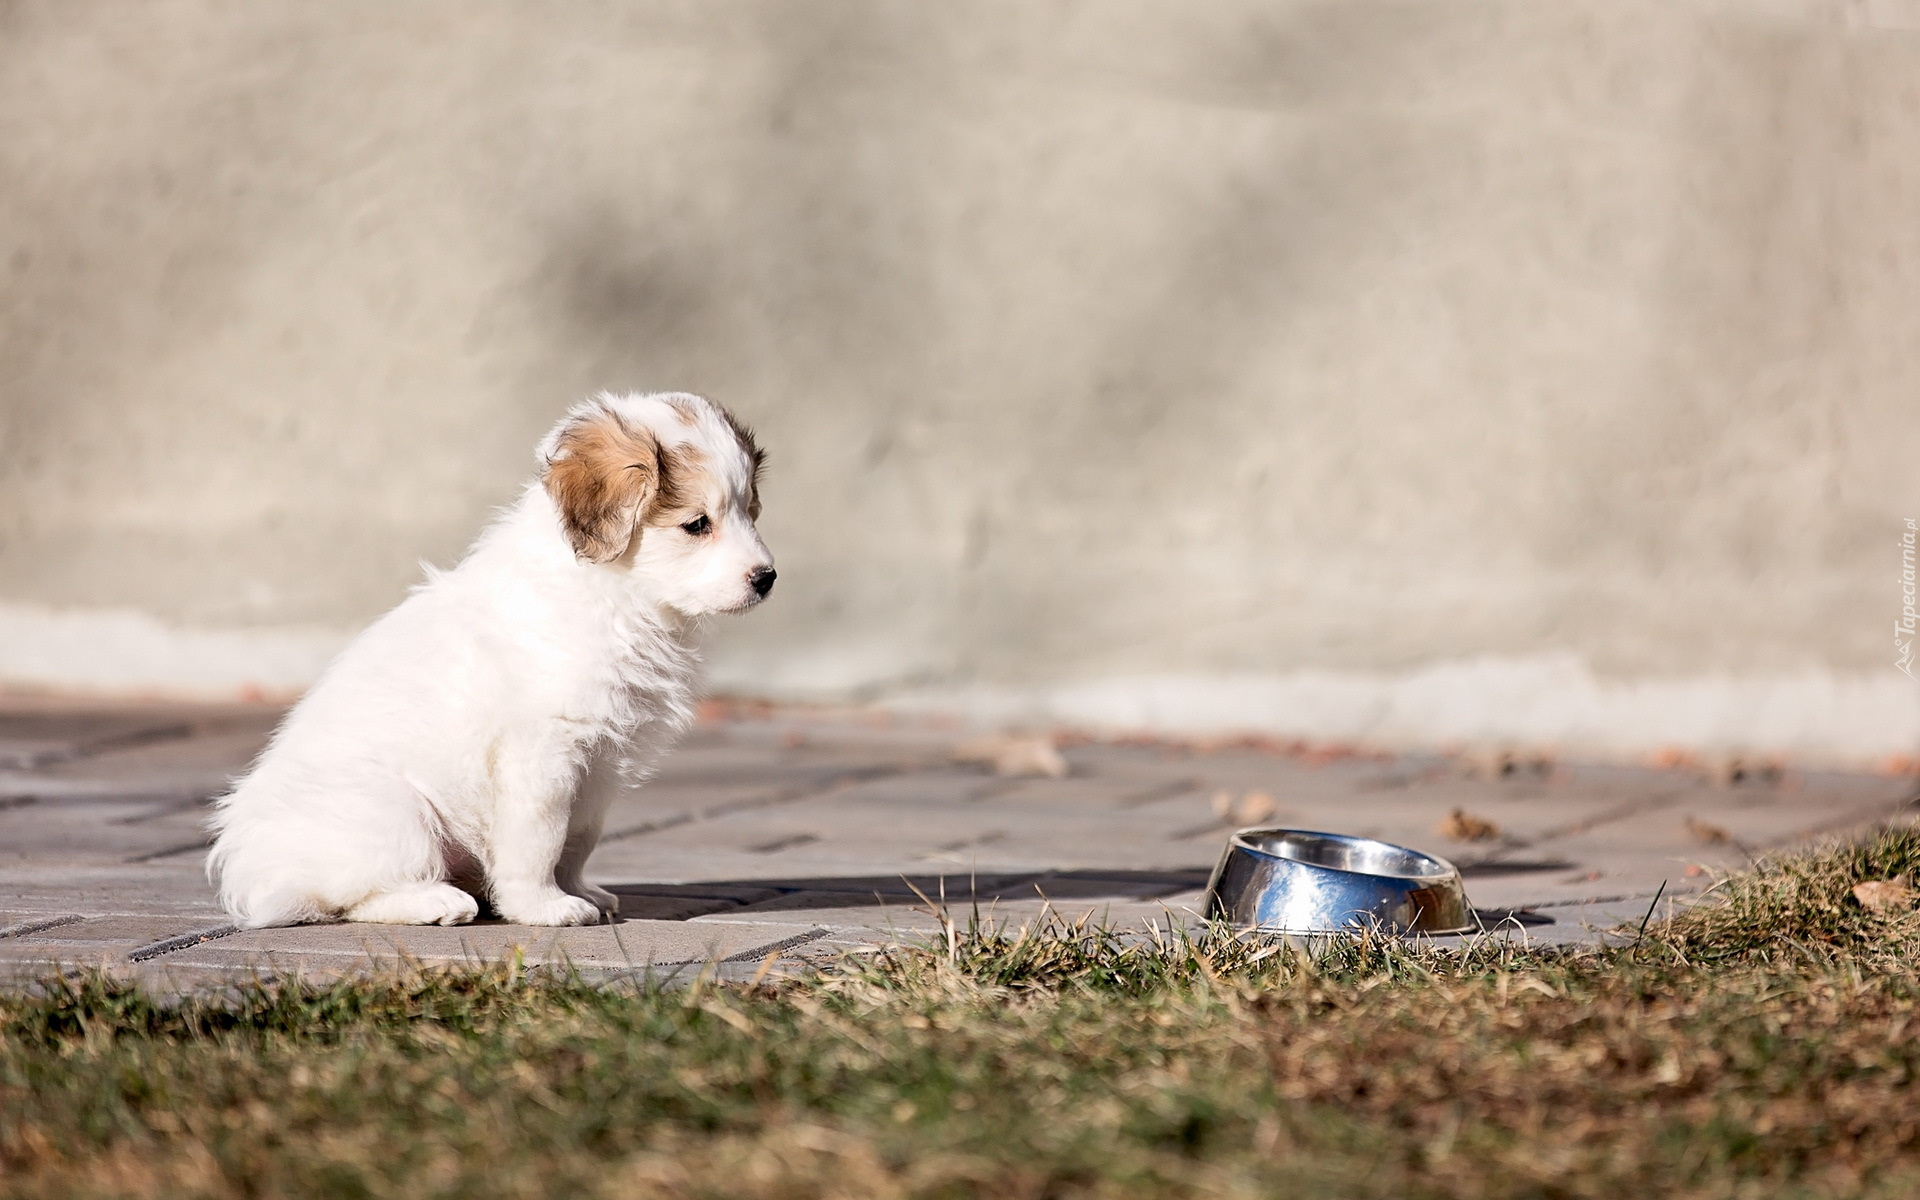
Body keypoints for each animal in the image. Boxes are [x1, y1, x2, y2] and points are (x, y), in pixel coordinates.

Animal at [208, 393, 771, 925]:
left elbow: (578, 841)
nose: (767, 578)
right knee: (351, 897)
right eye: (696, 524)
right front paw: (546, 907)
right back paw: (437, 902)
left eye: (750, 512)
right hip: (397, 812)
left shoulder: (599, 767)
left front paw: (582, 892)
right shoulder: (544, 753)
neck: (619, 595)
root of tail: (253, 873)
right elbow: (541, 841)